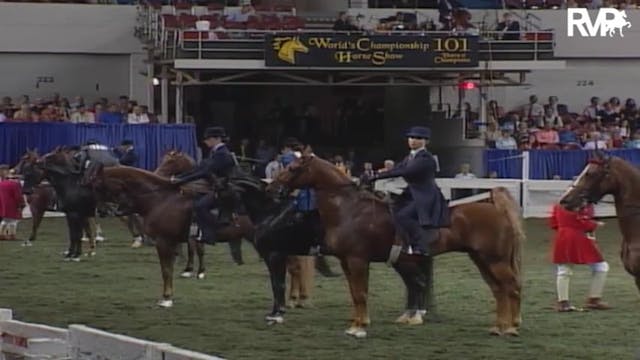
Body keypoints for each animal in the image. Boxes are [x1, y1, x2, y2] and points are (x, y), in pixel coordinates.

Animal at [268, 154, 524, 338]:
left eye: (293, 168)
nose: (273, 190)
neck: (349, 209)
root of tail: (496, 208)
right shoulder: (346, 262)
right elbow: (354, 293)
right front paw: (356, 323)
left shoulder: (358, 260)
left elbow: (360, 293)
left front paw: (360, 327)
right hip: (481, 260)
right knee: (499, 290)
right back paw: (498, 327)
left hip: (496, 261)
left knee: (512, 287)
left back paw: (512, 327)